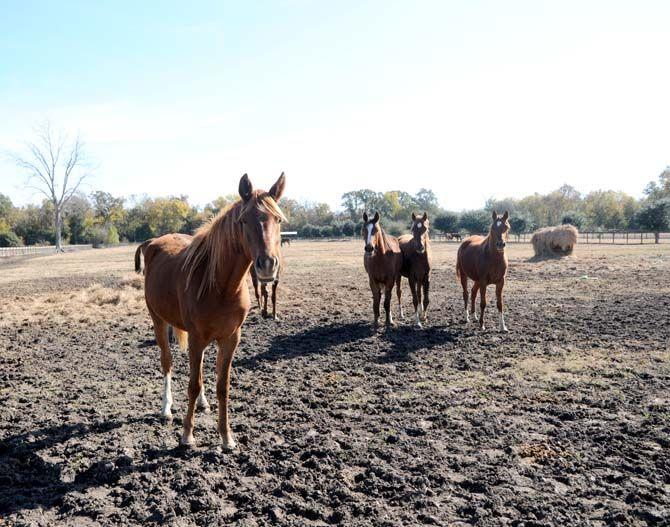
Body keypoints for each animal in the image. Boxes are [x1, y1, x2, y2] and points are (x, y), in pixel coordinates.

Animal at [134, 173, 286, 450]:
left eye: (278, 219)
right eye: (243, 220)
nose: (268, 265)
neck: (220, 285)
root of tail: (153, 242)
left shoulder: (230, 338)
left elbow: (221, 386)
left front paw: (226, 438)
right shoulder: (196, 337)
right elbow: (193, 384)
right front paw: (187, 435)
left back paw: (203, 404)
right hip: (158, 320)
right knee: (167, 363)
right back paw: (166, 408)